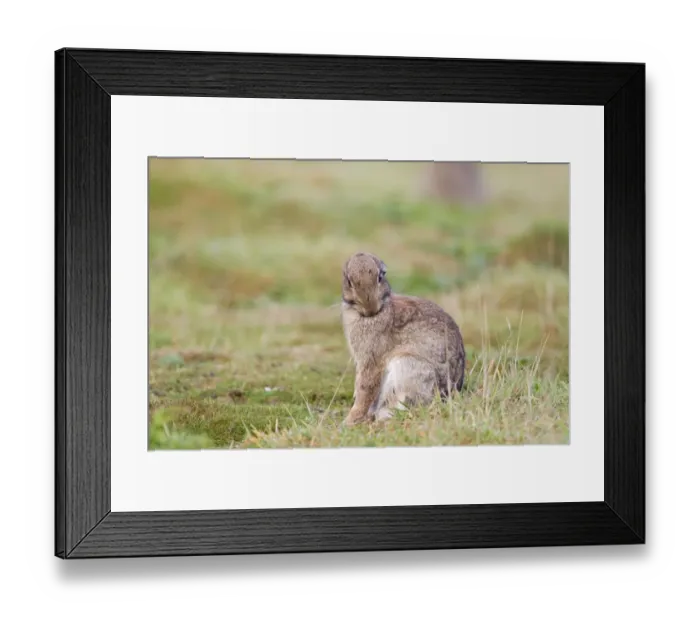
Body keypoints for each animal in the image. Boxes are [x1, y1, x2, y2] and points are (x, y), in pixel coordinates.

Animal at [341, 252, 466, 426]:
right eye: (348, 280)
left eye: (381, 276)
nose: (369, 306)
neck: (376, 312)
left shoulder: (372, 360)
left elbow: (365, 388)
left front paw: (349, 421)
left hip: (407, 367)